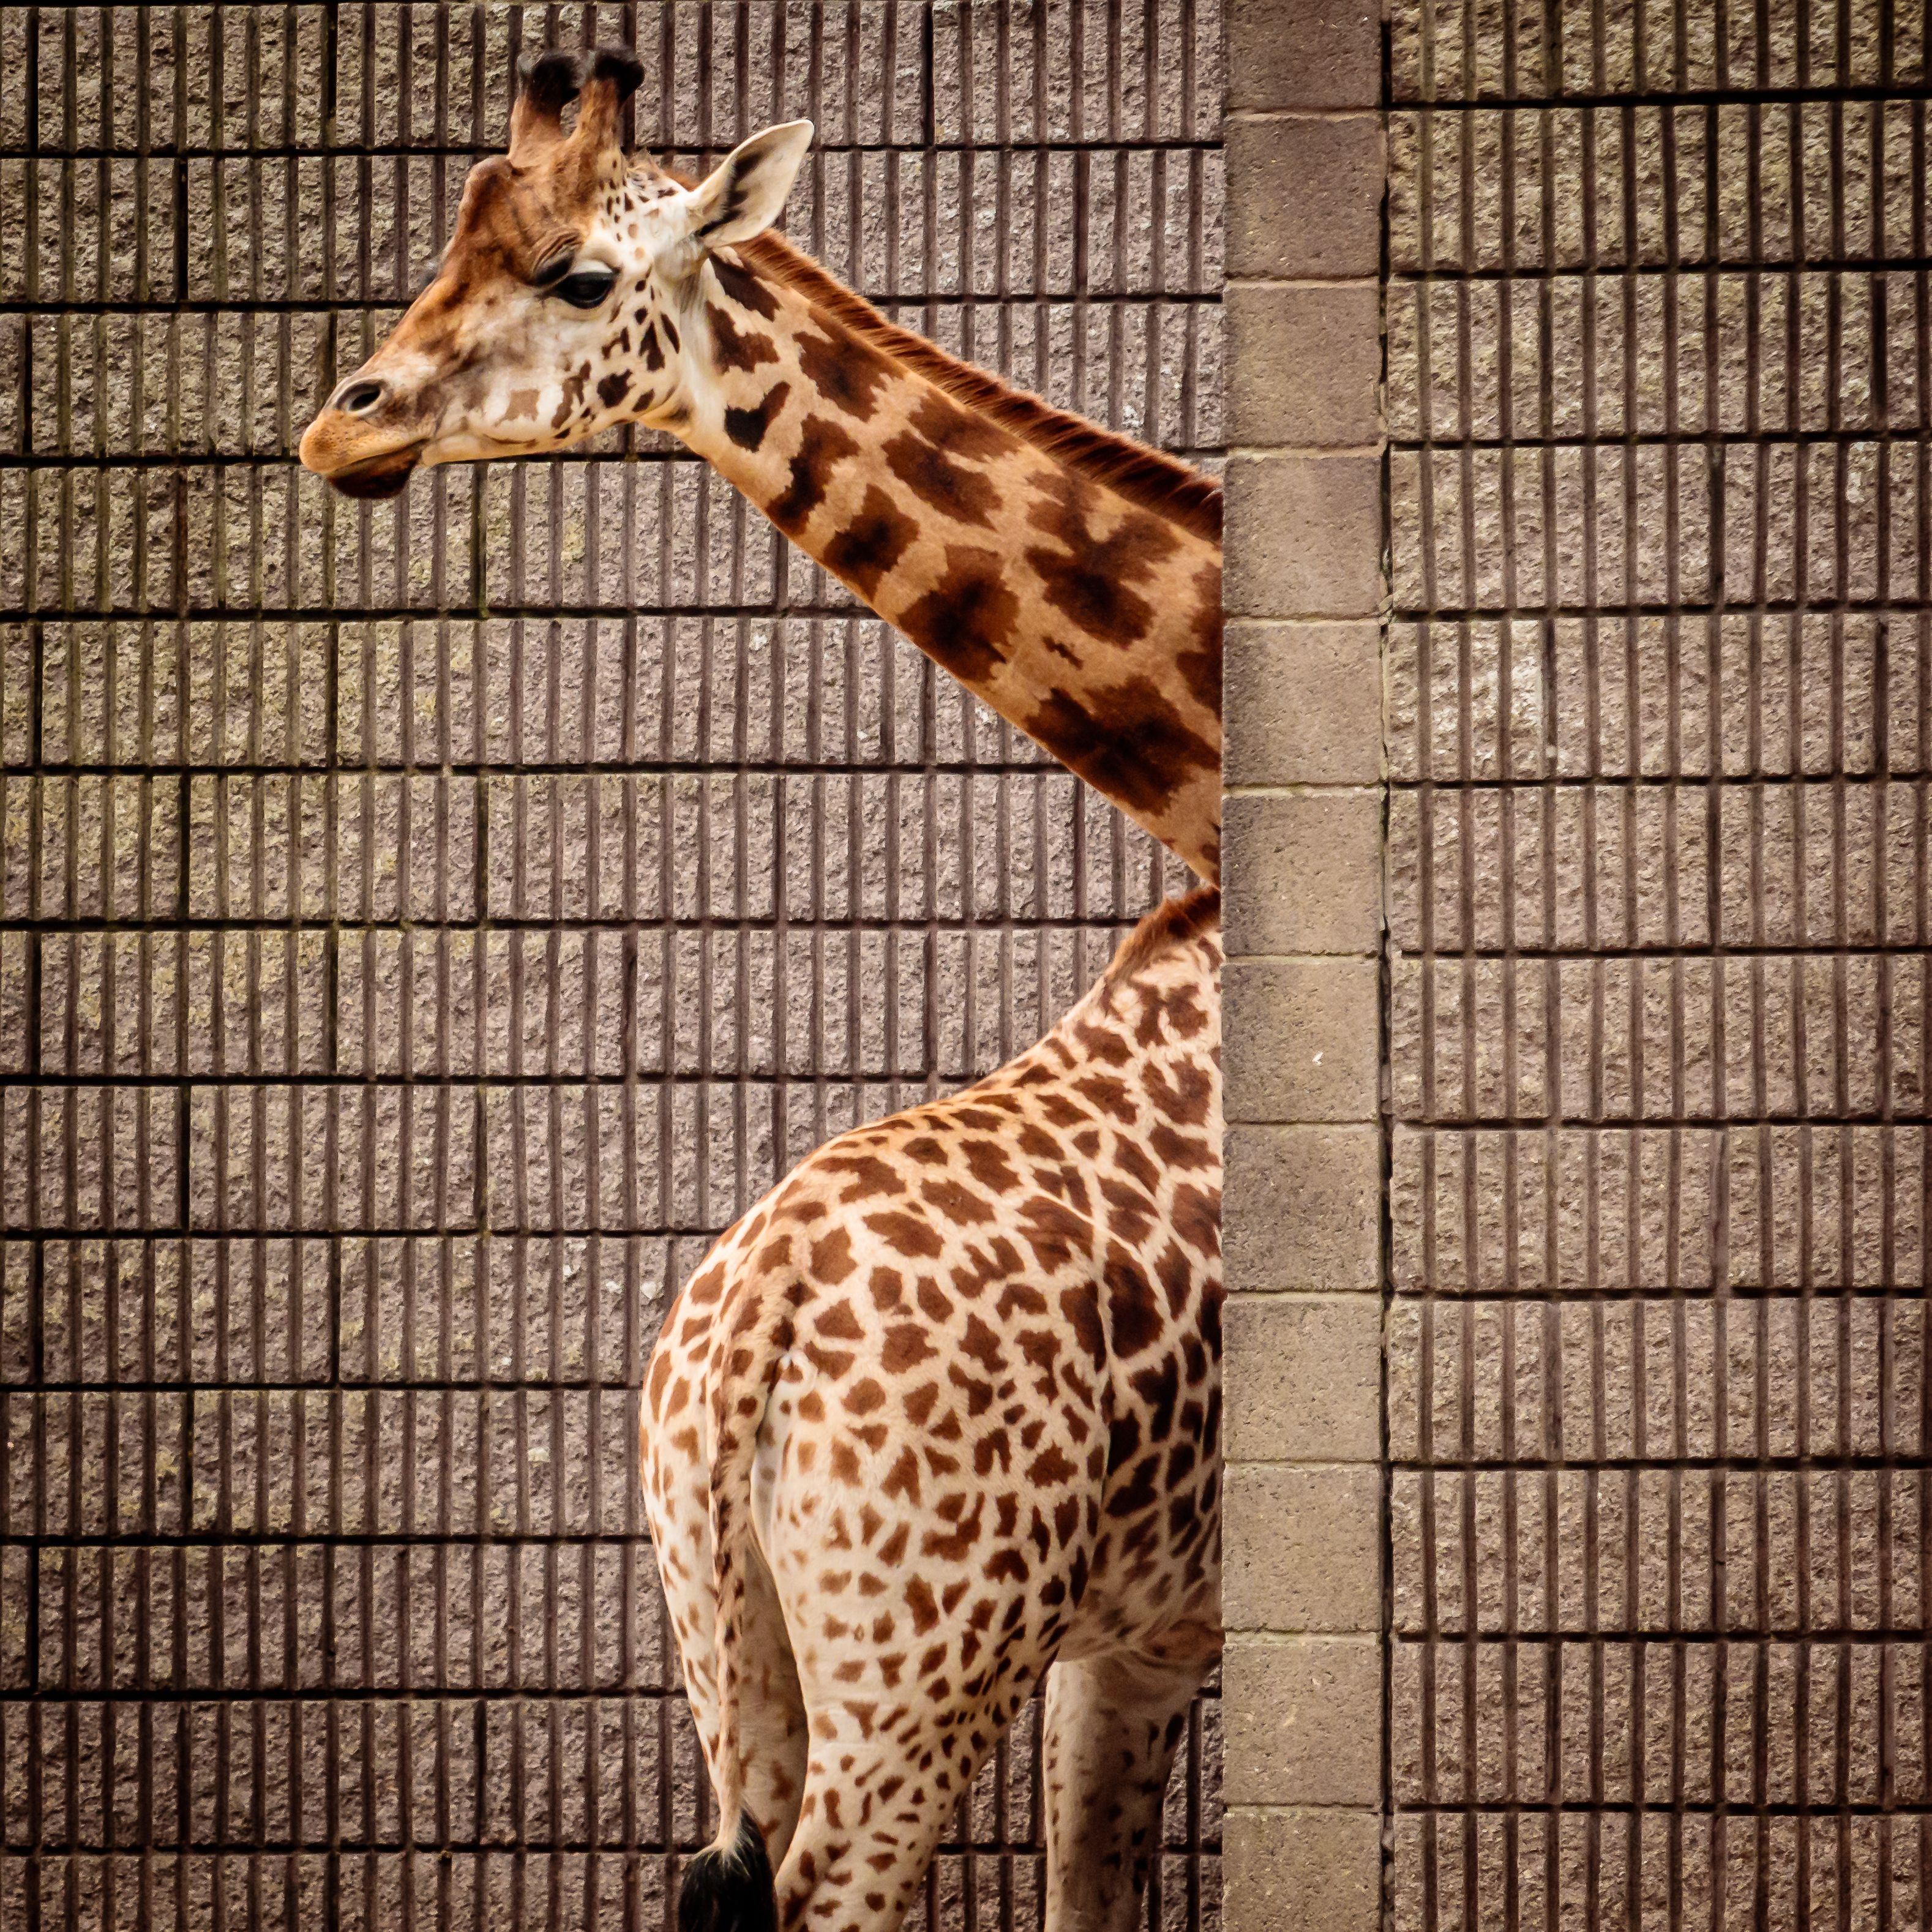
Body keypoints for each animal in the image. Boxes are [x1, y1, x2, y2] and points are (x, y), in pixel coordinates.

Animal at [297, 50, 1228, 1932]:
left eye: (579, 274)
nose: (338, 424)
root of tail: (741, 1355)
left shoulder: (1141, 1624)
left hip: (746, 1647)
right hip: (916, 1668)